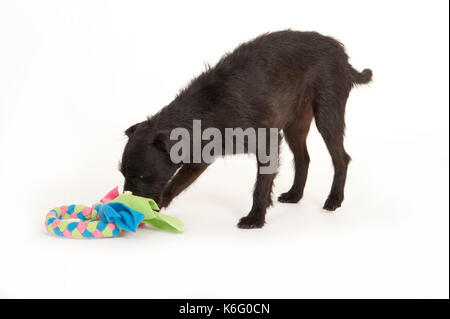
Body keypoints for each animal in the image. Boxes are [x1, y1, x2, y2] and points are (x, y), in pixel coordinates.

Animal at [119, 30, 372, 229]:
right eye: (123, 174)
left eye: (143, 176)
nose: (125, 203)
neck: (208, 106)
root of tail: (341, 54)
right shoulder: (199, 159)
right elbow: (177, 184)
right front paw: (158, 205)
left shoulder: (267, 144)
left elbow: (261, 186)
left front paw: (255, 218)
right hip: (295, 125)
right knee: (303, 159)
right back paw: (295, 195)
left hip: (328, 117)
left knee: (341, 158)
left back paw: (334, 199)